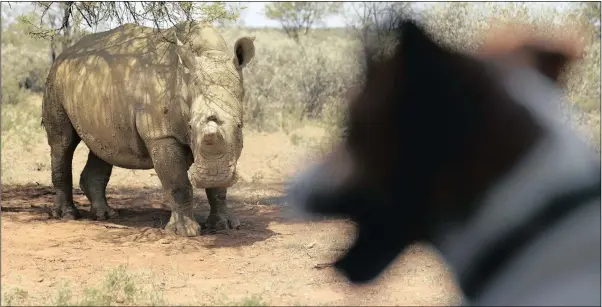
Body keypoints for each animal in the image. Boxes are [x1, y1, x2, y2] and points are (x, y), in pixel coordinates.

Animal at [41, 21, 253, 237]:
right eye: (190, 126)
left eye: (239, 125)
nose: (211, 177)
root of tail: (64, 54)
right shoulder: (161, 135)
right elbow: (178, 185)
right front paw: (184, 232)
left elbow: (219, 190)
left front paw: (224, 224)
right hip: (55, 80)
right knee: (63, 143)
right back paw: (68, 215)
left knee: (103, 147)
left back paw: (105, 215)